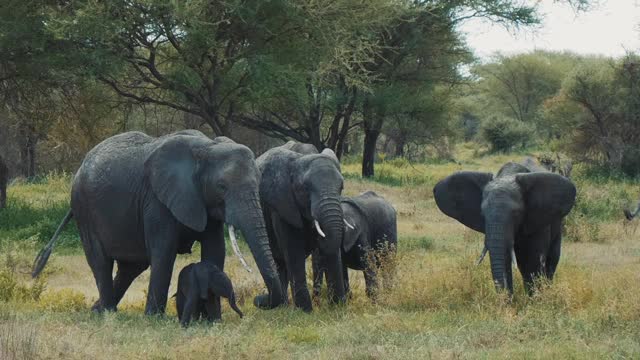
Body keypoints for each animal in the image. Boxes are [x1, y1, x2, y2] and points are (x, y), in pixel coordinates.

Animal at [31, 130, 286, 316]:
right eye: (222, 186)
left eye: (258, 181)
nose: (260, 299)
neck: (207, 147)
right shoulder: (156, 200)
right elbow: (164, 251)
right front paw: (154, 318)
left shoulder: (202, 201)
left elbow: (215, 251)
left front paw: (213, 318)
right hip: (84, 208)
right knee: (101, 261)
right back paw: (108, 313)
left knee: (132, 267)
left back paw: (96, 309)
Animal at [252, 141, 348, 312]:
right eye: (305, 188)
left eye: (341, 187)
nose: (256, 299)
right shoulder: (282, 205)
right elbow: (293, 250)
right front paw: (305, 311)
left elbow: (332, 250)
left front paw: (338, 308)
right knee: (279, 260)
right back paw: (283, 306)